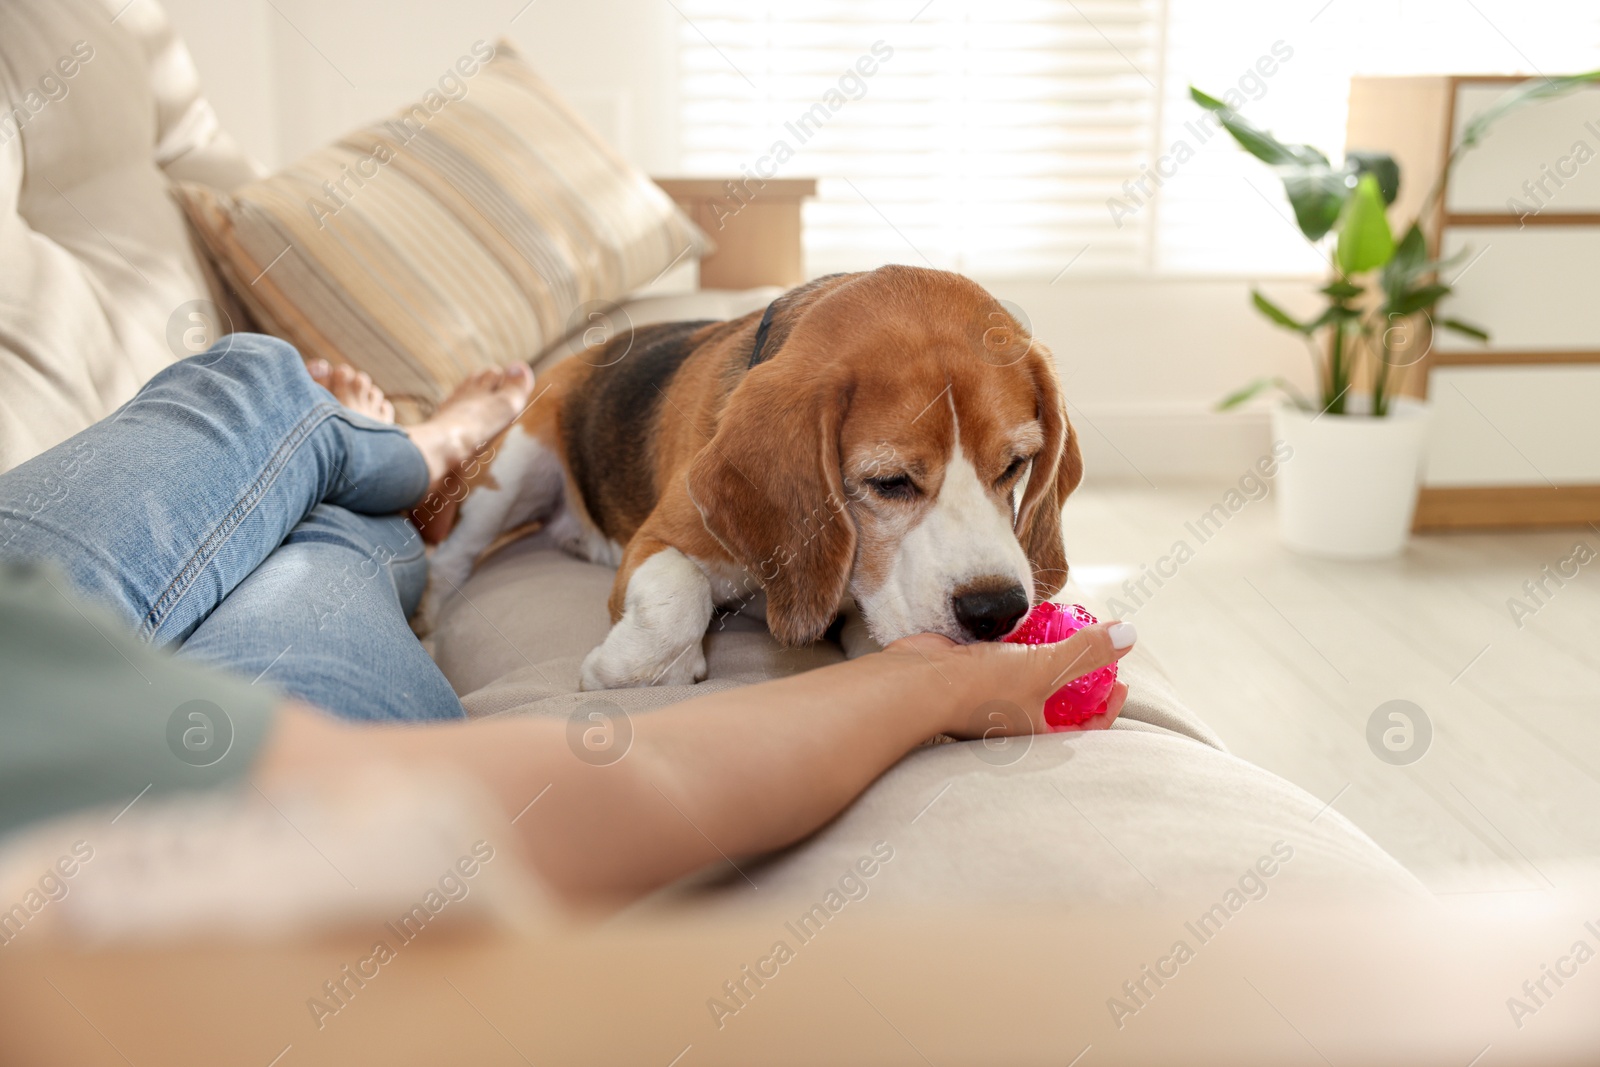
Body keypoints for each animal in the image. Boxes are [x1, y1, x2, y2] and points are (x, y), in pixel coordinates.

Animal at [422, 262, 1088, 687]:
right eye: (890, 482)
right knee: (453, 556)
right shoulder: (656, 540)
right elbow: (677, 595)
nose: (996, 610)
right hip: (515, 467)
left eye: (1015, 465)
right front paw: (629, 670)